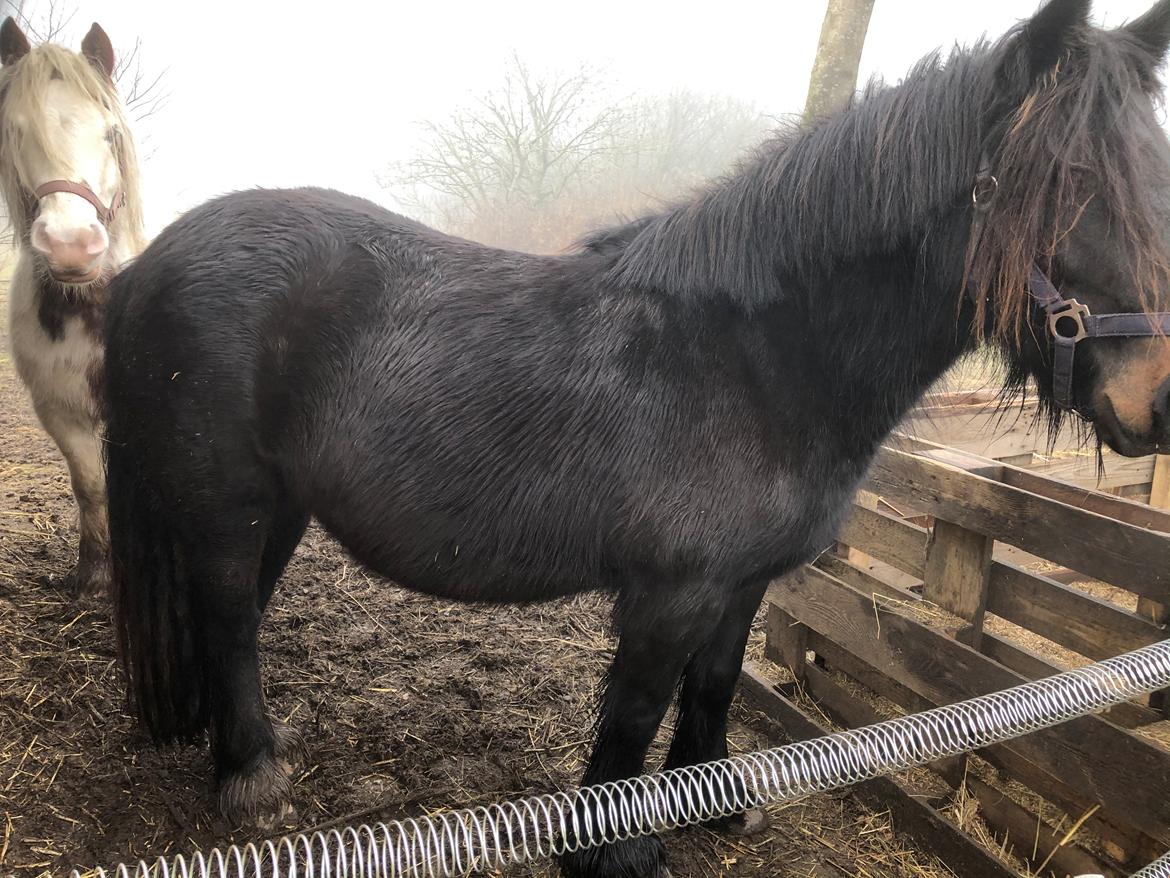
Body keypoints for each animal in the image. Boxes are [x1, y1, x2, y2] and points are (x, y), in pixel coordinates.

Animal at [105, 3, 1170, 875]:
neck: (758, 358)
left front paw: (718, 805)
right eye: (1067, 182)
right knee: (231, 619)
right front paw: (612, 850)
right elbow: (631, 721)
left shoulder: (741, 584)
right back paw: (251, 779)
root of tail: (153, 259)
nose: (1157, 402)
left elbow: (716, 686)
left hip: (277, 507)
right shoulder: (670, 594)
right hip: (228, 505)